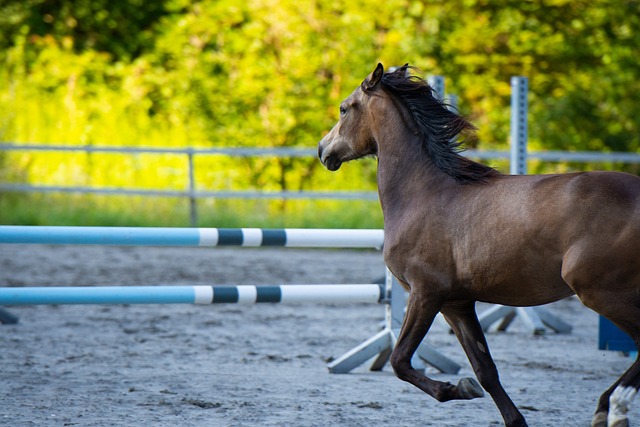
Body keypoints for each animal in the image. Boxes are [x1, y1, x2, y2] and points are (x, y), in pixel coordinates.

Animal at [316, 64, 640, 427]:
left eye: (344, 108)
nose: (323, 150)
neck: (423, 192)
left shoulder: (426, 293)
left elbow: (400, 361)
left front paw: (456, 388)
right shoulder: (456, 303)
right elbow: (486, 370)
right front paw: (506, 414)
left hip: (601, 293)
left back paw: (616, 406)